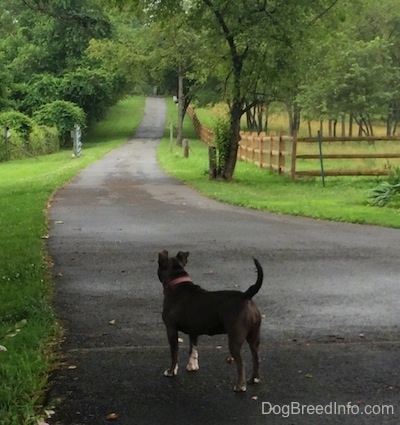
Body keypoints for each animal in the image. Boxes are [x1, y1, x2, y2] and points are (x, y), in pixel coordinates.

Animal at [158, 248, 264, 390]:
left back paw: (240, 386)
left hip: (235, 339)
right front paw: (192, 366)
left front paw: (171, 371)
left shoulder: (171, 329)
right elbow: (193, 350)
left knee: (241, 363)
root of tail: (246, 296)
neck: (177, 283)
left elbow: (174, 354)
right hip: (254, 337)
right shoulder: (193, 332)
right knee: (256, 357)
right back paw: (254, 379)